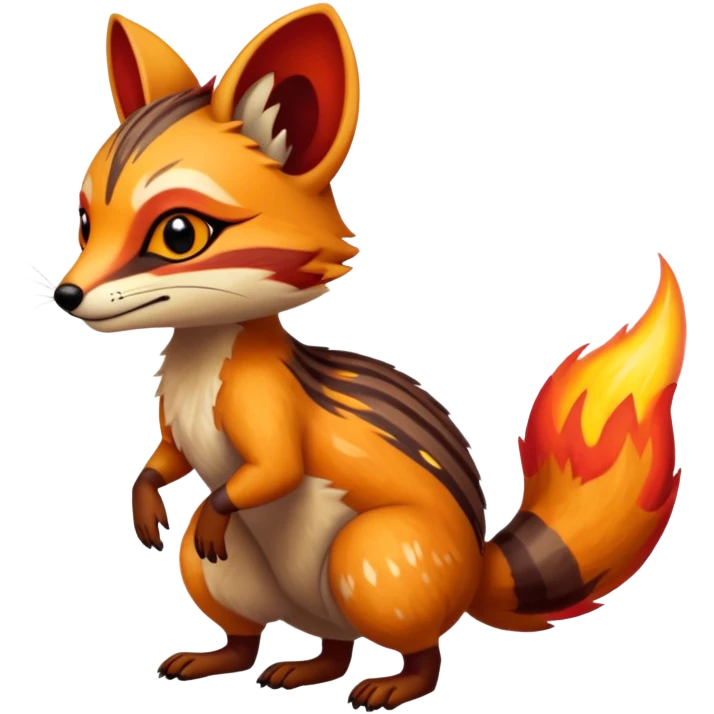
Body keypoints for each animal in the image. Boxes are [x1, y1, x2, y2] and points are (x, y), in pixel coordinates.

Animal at [54, 4, 688, 710]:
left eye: (180, 233)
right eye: (85, 222)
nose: (66, 294)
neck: (201, 354)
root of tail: (475, 571)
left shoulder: (267, 406)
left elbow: (271, 468)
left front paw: (215, 505)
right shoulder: (172, 422)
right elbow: (166, 459)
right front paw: (144, 503)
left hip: (372, 557)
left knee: (421, 652)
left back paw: (390, 685)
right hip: (219, 574)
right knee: (291, 643)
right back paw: (244, 662)